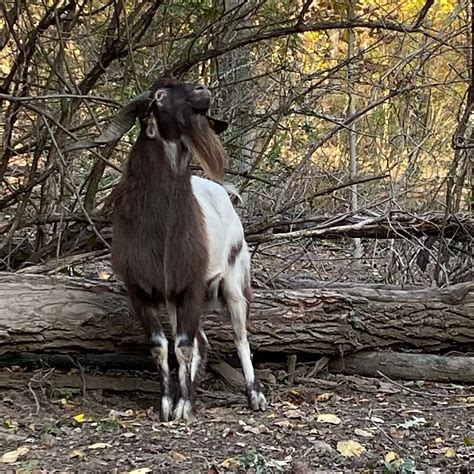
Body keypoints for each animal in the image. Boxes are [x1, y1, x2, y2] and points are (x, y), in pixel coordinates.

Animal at [69, 78, 266, 422]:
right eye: (159, 96)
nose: (202, 90)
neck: (162, 230)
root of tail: (224, 195)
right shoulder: (141, 290)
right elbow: (161, 346)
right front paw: (167, 404)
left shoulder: (191, 285)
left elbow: (184, 346)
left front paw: (183, 406)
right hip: (174, 299)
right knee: (201, 341)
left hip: (233, 281)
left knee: (239, 336)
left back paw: (254, 396)